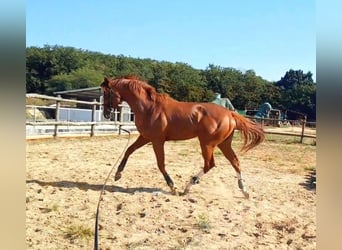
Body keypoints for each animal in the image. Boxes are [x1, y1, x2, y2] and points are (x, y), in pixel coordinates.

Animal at [99, 75, 264, 197]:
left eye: (106, 93)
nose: (106, 114)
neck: (149, 108)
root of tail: (230, 113)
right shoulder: (145, 137)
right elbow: (129, 150)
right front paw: (118, 174)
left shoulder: (157, 141)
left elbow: (161, 164)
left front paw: (172, 187)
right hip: (223, 144)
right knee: (235, 161)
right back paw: (244, 191)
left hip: (207, 144)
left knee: (209, 164)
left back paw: (188, 186)